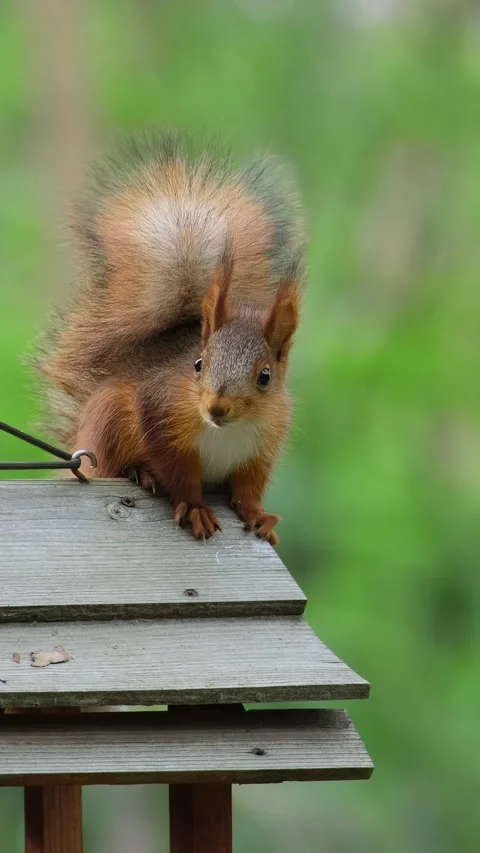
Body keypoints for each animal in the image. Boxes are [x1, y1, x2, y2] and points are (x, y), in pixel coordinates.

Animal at [37, 134, 305, 545]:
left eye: (265, 377)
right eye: (198, 364)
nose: (216, 408)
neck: (226, 430)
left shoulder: (264, 445)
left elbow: (249, 488)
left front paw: (257, 515)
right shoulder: (161, 414)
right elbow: (178, 473)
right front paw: (194, 508)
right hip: (109, 417)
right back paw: (138, 471)